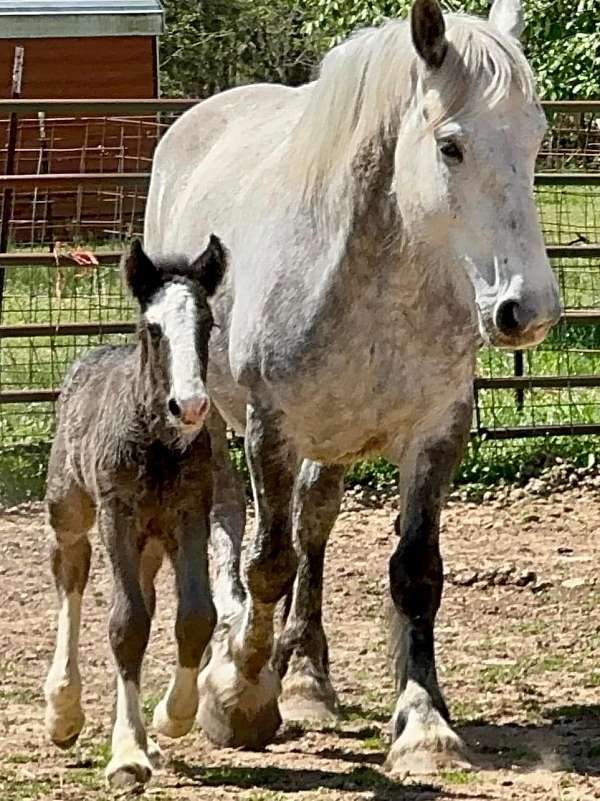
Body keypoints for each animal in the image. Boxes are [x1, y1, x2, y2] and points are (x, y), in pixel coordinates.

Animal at [143, 0, 560, 776]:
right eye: (451, 146)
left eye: (536, 138)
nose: (531, 309)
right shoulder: (272, 430)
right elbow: (268, 562)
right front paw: (239, 695)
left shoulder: (437, 431)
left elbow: (415, 572)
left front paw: (424, 724)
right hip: (207, 414)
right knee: (227, 524)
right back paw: (232, 653)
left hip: (331, 438)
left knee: (315, 523)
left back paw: (307, 676)